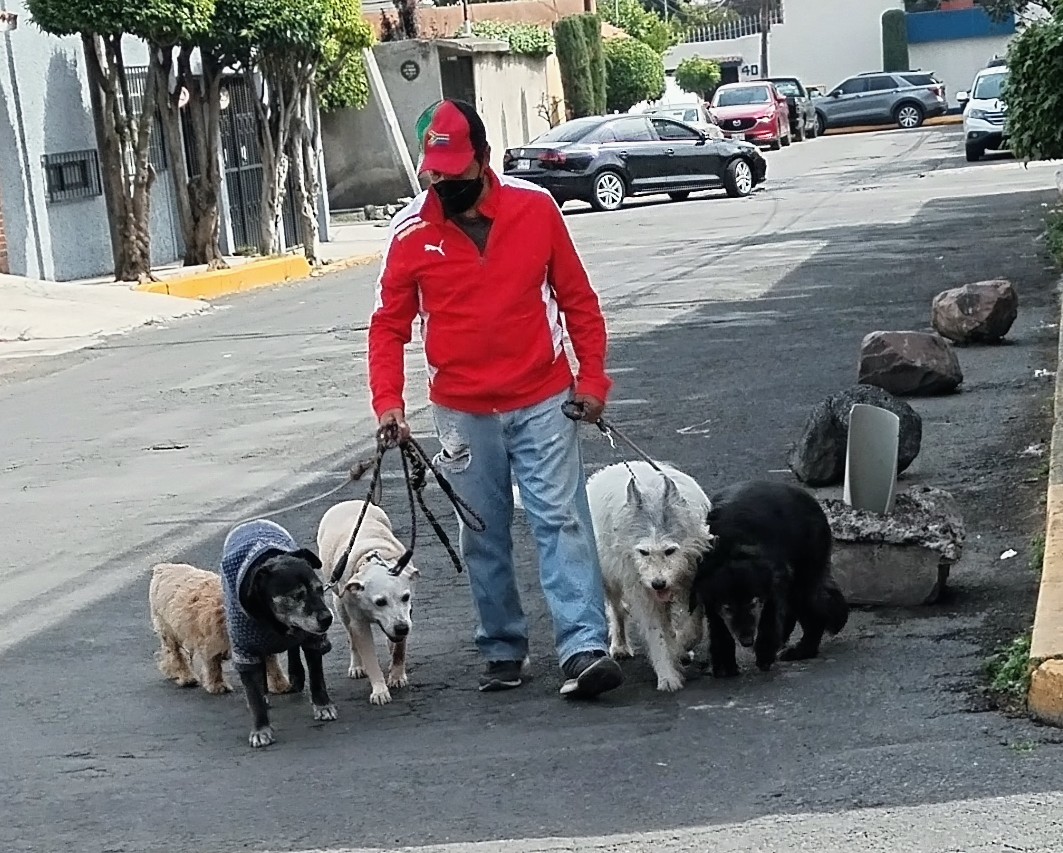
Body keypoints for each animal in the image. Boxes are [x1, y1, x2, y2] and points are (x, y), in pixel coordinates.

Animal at [148, 562, 292, 696]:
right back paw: (186, 677)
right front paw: (217, 685)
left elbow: (272, 663)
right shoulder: (209, 643)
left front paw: (280, 684)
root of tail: (163, 567)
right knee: (175, 653)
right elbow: (213, 665)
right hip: (168, 630)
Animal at [220, 519, 336, 748]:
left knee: (293, 650)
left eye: (320, 589)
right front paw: (260, 729)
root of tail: (252, 522)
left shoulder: (312, 639)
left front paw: (323, 705)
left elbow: (317, 677)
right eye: (297, 596)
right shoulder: (244, 649)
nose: (327, 618)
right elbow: (254, 695)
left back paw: (296, 674)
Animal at [317, 500, 419, 706]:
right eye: (380, 602)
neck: (371, 560)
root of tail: (346, 503)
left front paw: (397, 675)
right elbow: (369, 656)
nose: (401, 628)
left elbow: (399, 649)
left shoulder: (407, 614)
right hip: (340, 606)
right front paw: (379, 690)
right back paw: (357, 665)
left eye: (405, 597)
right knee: (351, 639)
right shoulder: (359, 624)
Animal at [586, 460, 715, 692]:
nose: (658, 583)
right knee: (617, 610)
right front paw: (667, 676)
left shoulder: (692, 584)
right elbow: (657, 634)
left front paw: (680, 647)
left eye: (670, 551)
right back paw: (620, 645)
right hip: (610, 580)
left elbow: (694, 628)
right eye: (643, 552)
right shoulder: (643, 593)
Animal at [689, 480, 849, 678]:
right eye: (728, 607)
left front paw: (764, 653)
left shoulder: (773, 583)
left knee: (812, 611)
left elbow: (768, 619)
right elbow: (720, 628)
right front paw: (725, 664)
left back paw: (802, 650)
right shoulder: (710, 596)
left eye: (753, 602)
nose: (747, 641)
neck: (729, 549)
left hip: (803, 577)